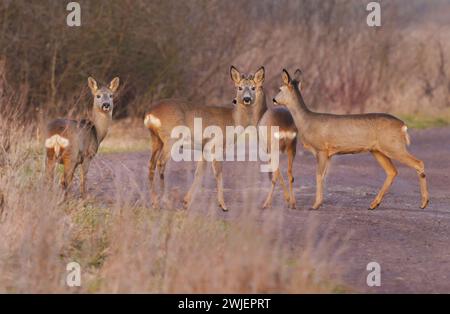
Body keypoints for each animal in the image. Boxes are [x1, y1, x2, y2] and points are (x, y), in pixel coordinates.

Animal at [145, 67, 298, 212]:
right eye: (239, 87)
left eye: (253, 87)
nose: (246, 99)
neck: (233, 120)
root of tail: (150, 114)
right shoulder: (216, 145)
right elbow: (218, 173)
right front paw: (223, 206)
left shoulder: (205, 148)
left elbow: (199, 173)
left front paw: (186, 202)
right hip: (170, 139)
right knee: (161, 163)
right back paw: (164, 201)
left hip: (156, 140)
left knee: (151, 164)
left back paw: (154, 203)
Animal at [270, 69, 428, 211]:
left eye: (279, 88)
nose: (273, 99)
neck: (307, 122)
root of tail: (403, 125)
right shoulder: (329, 154)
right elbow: (324, 176)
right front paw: (319, 203)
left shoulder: (321, 149)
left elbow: (318, 176)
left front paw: (315, 205)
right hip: (377, 150)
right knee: (392, 171)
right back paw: (374, 204)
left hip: (393, 146)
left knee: (418, 163)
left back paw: (424, 203)